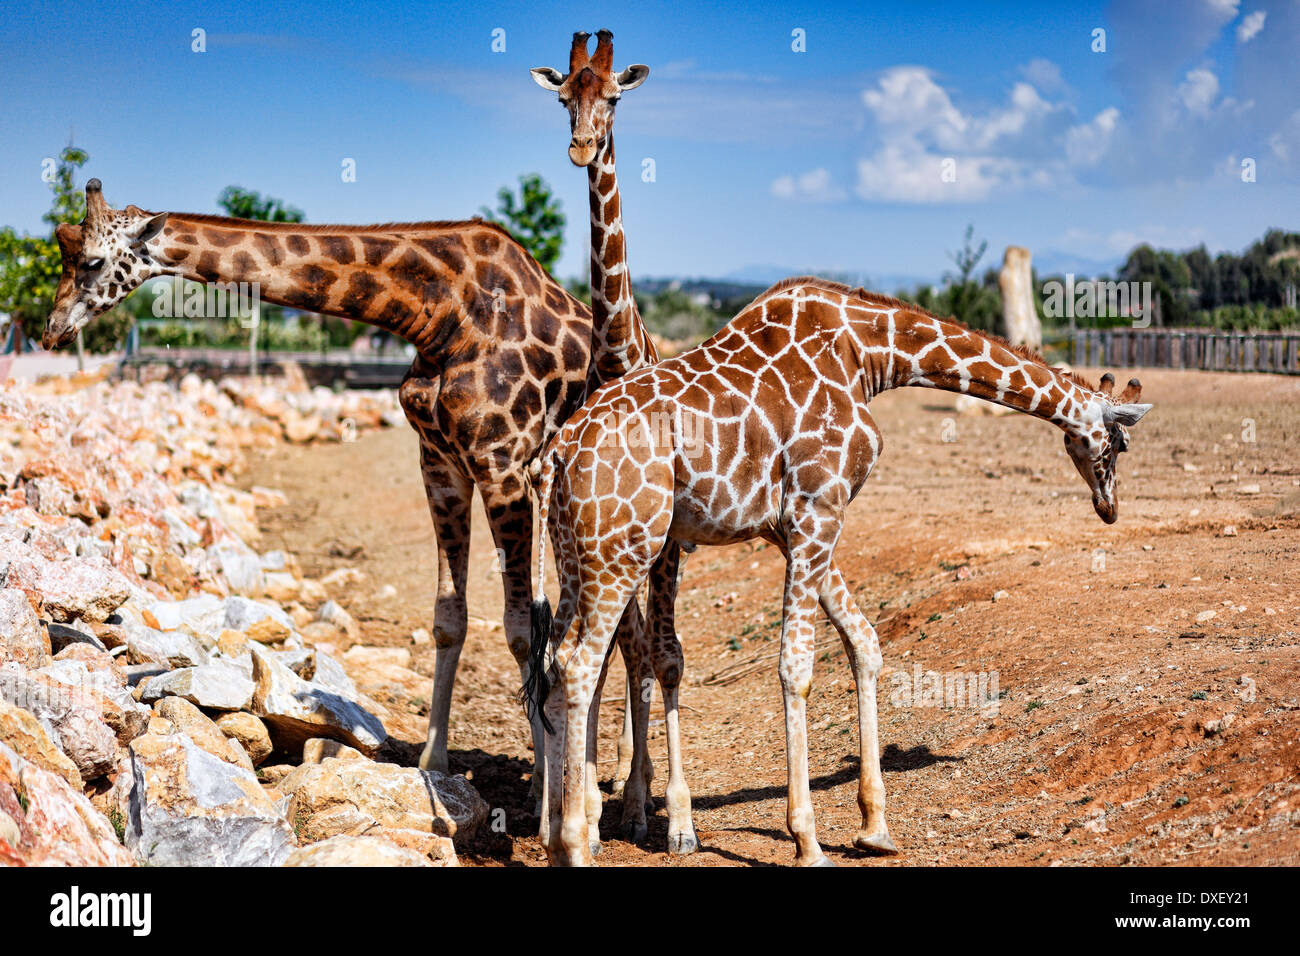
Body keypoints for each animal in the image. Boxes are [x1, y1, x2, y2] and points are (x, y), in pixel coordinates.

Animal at [40, 175, 603, 790]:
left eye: (92, 261)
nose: (51, 331)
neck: (439, 314)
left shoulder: (502, 465)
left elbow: (522, 627)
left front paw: (545, 783)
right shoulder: (439, 460)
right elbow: (449, 618)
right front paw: (434, 766)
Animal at [522, 277, 1154, 868]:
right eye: (1119, 444)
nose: (1110, 507)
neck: (868, 354)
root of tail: (556, 453)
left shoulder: (789, 522)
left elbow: (865, 642)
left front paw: (876, 826)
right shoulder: (818, 506)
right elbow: (796, 666)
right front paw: (808, 839)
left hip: (578, 555)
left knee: (555, 663)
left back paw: (555, 837)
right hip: (625, 549)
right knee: (581, 664)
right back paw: (578, 843)